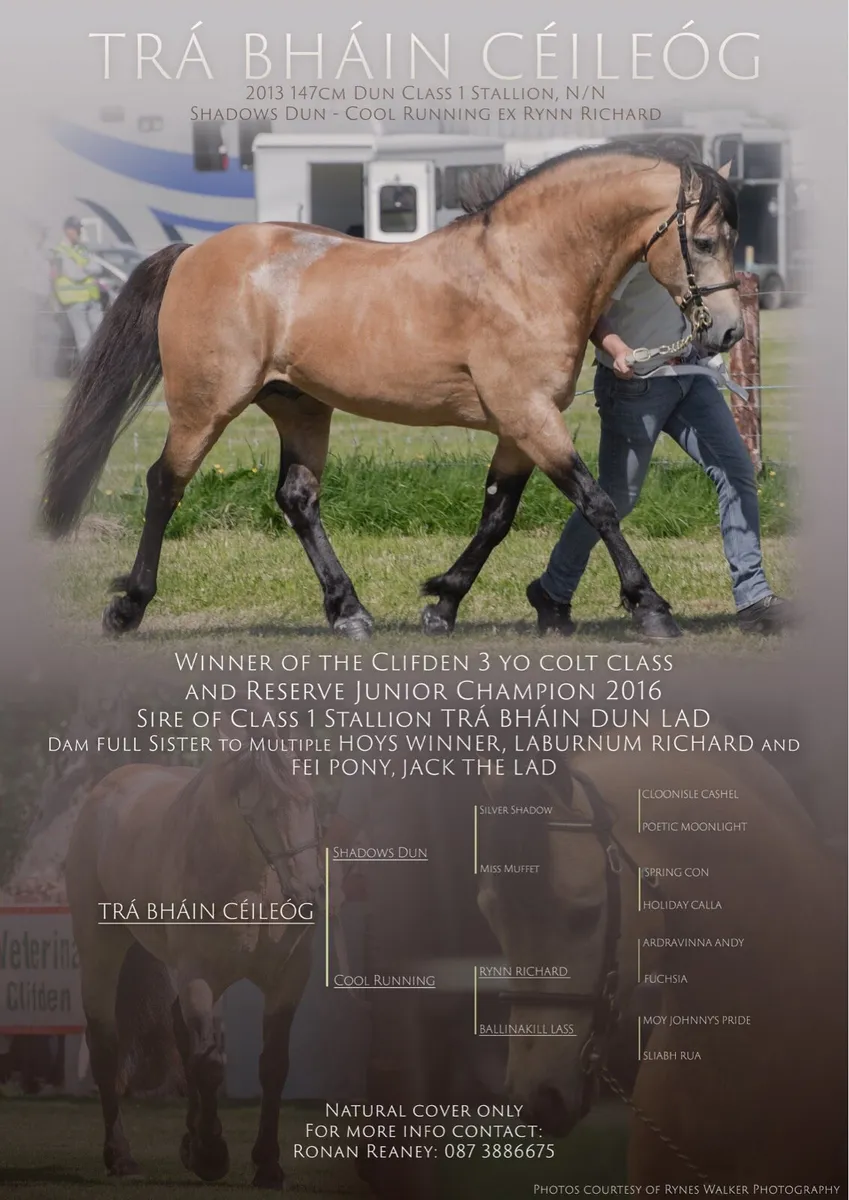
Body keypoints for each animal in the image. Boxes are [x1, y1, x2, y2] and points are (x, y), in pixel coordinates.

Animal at [41, 141, 742, 640]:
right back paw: (129, 607)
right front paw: (650, 606)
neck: (521, 272)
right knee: (165, 485)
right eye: (707, 240)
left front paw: (443, 603)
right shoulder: (530, 416)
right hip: (204, 406)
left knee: (297, 499)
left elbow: (497, 515)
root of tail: (192, 254)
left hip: (300, 408)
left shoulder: (519, 427)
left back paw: (348, 610)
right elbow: (596, 503)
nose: (731, 330)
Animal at [65, 742, 323, 1189]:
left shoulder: (288, 981)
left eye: (309, 800)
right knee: (106, 1050)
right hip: (102, 953)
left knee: (178, 1031)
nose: (309, 894)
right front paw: (211, 1156)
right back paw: (121, 1157)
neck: (255, 886)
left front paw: (267, 1165)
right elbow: (210, 1065)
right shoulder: (199, 978)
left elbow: (272, 1066)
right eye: (267, 808)